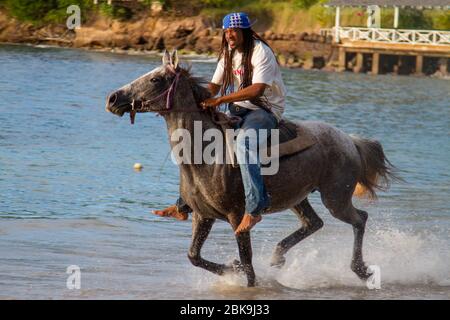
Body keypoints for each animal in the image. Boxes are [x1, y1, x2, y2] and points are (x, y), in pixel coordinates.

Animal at [104, 52, 394, 288]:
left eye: (155, 79)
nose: (113, 98)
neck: (206, 156)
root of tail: (350, 140)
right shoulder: (203, 216)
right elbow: (194, 256)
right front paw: (231, 267)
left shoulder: (237, 217)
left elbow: (248, 265)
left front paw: (243, 274)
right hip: (298, 197)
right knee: (314, 222)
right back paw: (278, 256)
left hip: (335, 198)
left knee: (359, 219)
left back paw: (361, 270)